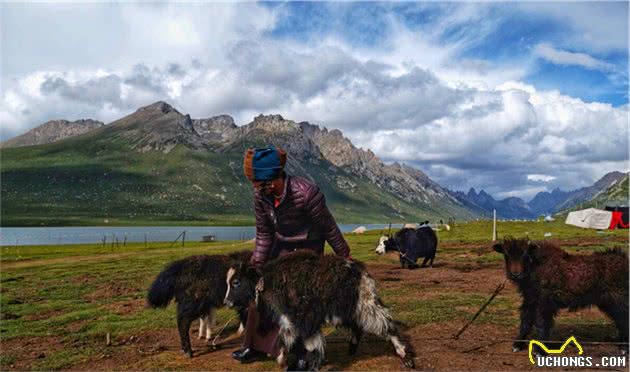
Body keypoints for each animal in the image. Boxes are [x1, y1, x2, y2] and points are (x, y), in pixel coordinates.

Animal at [225, 251, 418, 370]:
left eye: (236, 282)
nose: (227, 302)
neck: (268, 280)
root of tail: (359, 269)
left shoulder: (303, 320)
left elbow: (310, 345)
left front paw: (309, 365)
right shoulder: (291, 320)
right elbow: (287, 340)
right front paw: (284, 360)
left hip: (366, 305)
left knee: (387, 325)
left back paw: (405, 356)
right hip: (348, 310)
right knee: (358, 327)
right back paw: (352, 348)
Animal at [496, 238, 628, 354]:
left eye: (525, 254)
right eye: (506, 255)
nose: (515, 274)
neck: (536, 266)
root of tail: (623, 259)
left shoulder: (545, 302)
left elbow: (542, 324)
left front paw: (540, 351)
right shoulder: (530, 300)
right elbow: (525, 321)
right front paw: (517, 345)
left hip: (618, 299)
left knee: (623, 320)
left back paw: (624, 348)